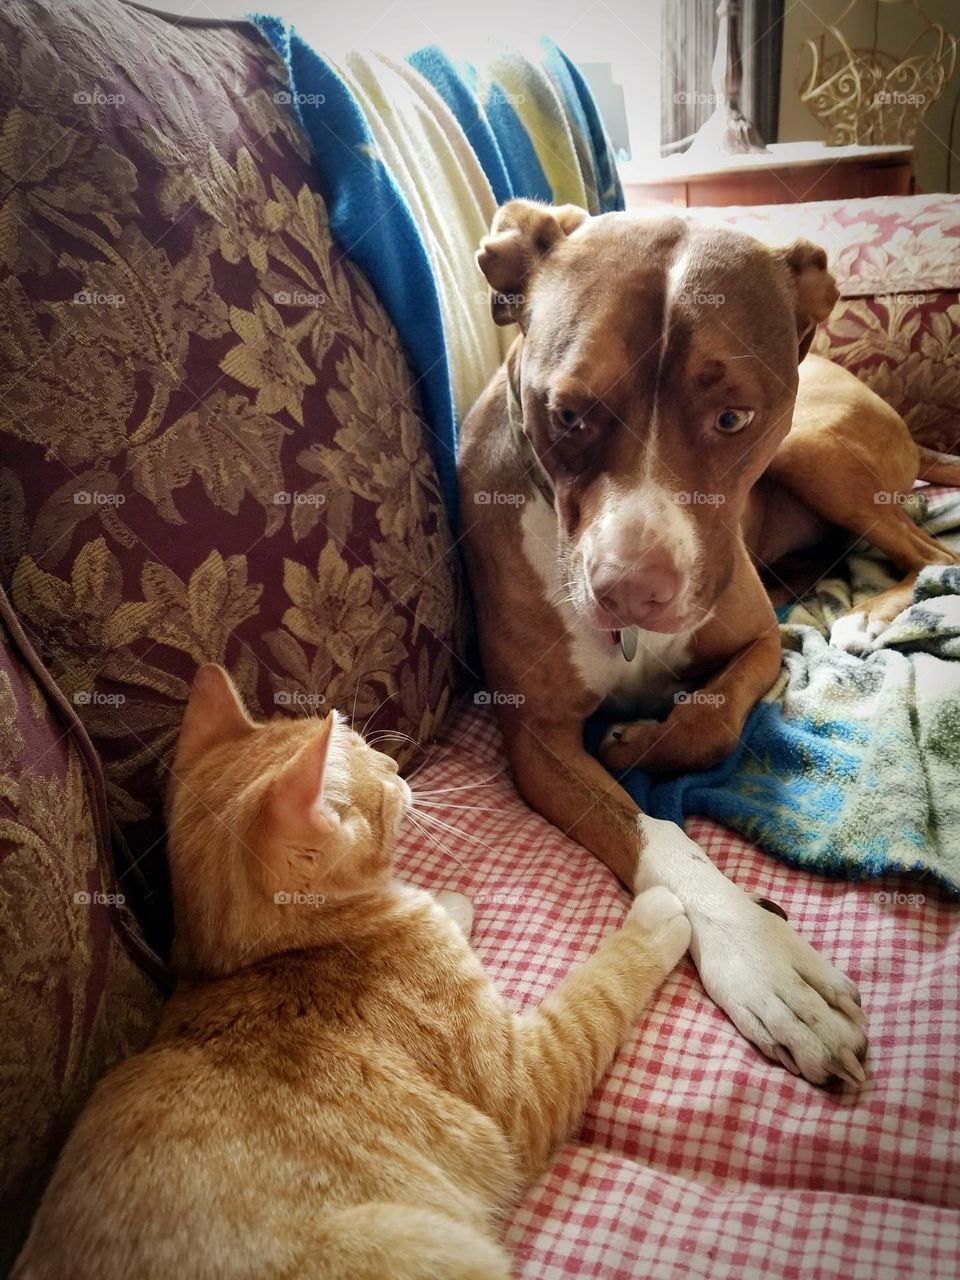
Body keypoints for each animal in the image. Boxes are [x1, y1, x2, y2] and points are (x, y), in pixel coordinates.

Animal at [15, 665, 691, 1280]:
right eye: (379, 775)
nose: (395, 765)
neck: (264, 958)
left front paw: (450, 902)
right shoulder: (525, 1087)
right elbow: (597, 996)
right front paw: (663, 912)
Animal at [460, 199, 960, 1090]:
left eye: (733, 418)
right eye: (568, 413)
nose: (631, 589)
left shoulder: (762, 636)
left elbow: (716, 718)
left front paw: (642, 739)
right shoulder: (534, 734)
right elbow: (648, 827)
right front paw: (760, 955)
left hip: (816, 448)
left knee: (932, 552)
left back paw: (867, 613)